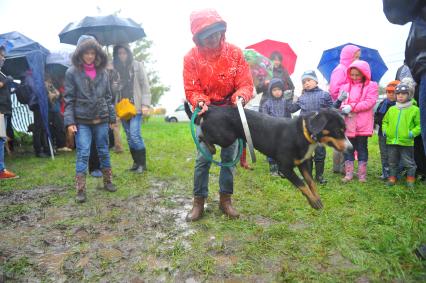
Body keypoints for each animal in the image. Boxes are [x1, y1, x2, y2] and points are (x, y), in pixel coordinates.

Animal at [186, 104, 352, 211]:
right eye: (338, 131)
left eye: (344, 130)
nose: (351, 148)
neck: (303, 133)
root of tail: (211, 109)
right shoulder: (285, 167)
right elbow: (302, 184)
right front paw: (313, 201)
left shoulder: (303, 163)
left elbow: (311, 183)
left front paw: (316, 199)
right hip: (225, 137)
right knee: (202, 135)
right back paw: (210, 146)